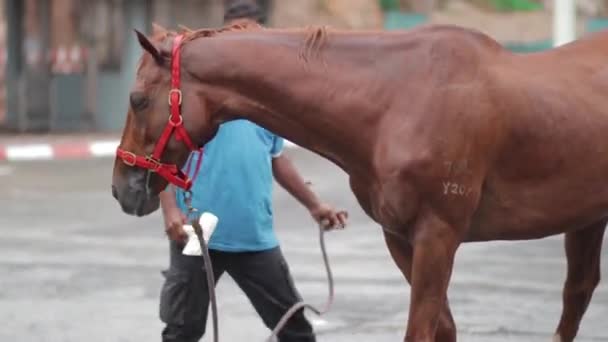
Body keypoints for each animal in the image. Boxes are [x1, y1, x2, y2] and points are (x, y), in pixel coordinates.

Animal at [111, 22, 604, 340]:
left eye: (137, 99)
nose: (122, 188)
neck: (395, 100)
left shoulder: (438, 235)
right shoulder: (399, 237)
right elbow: (443, 327)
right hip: (586, 219)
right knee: (576, 297)